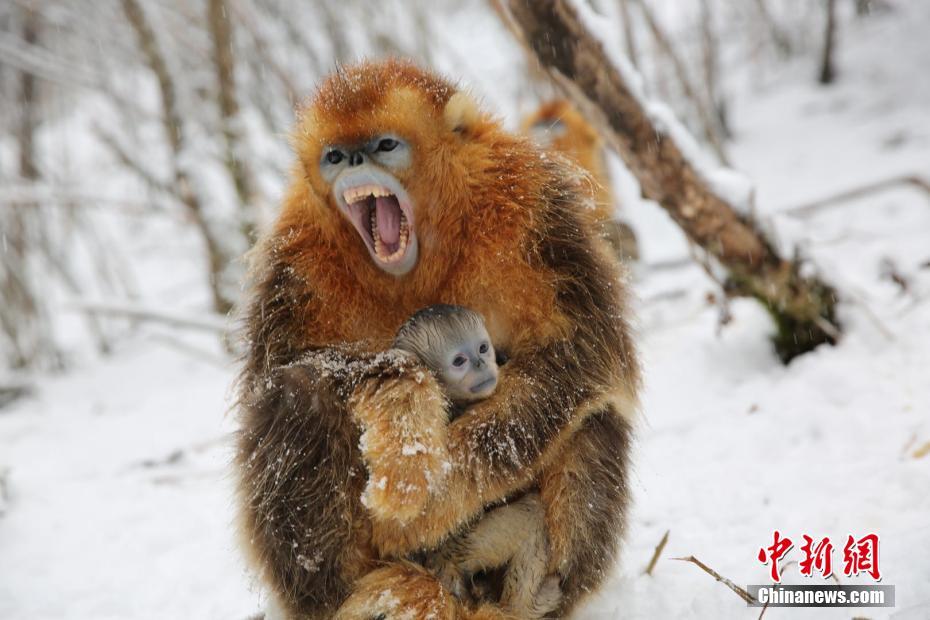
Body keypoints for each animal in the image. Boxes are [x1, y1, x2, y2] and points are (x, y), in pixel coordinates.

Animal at [392, 306, 560, 620]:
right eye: (460, 361)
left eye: (483, 348)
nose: (483, 364)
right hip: (461, 550)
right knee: (531, 515)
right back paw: (524, 606)